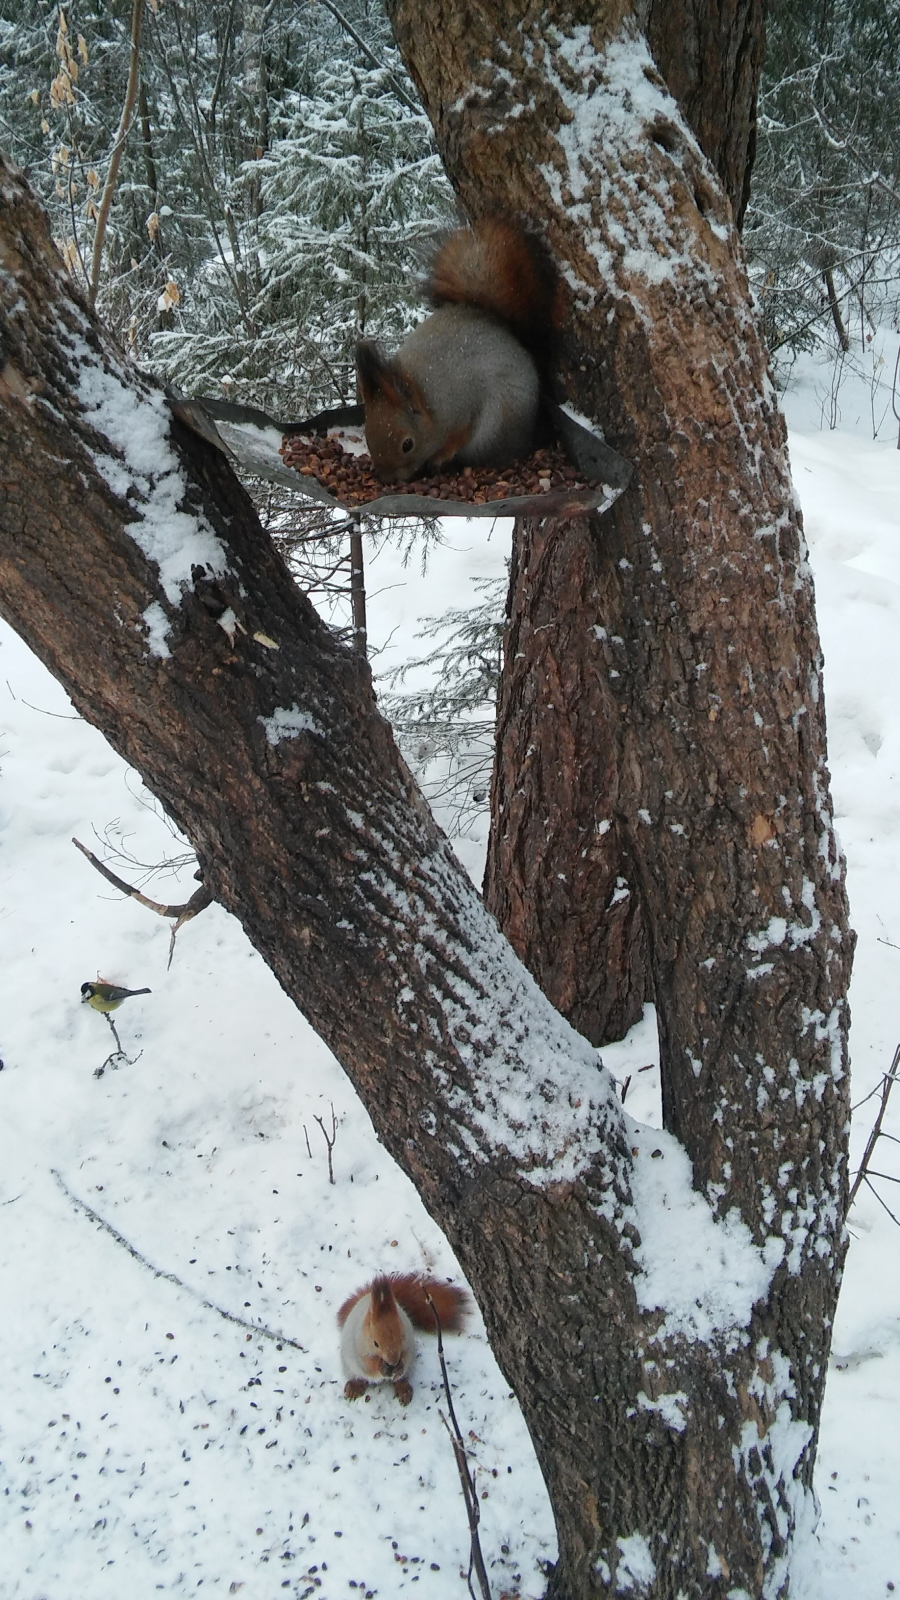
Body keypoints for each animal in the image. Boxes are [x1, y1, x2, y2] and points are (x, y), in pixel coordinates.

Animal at [336, 1267, 470, 1408]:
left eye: (402, 1336)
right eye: (375, 1343)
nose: (394, 1361)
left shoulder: (407, 1345)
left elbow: (404, 1356)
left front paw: (399, 1367)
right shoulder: (358, 1349)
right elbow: (369, 1365)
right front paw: (381, 1367)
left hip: (410, 1365)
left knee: (401, 1379)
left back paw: (403, 1390)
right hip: (348, 1366)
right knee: (358, 1377)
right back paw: (354, 1387)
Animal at [353, 217, 557, 480]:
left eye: (407, 444)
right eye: (367, 436)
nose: (390, 479)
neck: (427, 397)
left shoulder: (467, 405)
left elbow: (460, 435)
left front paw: (441, 455)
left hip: (500, 423)